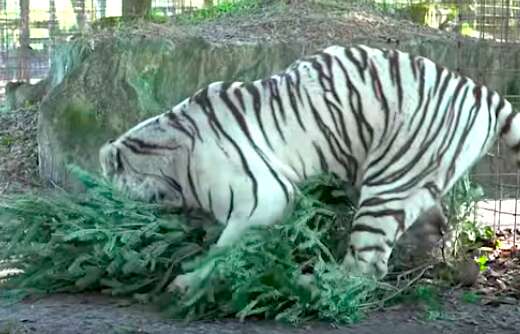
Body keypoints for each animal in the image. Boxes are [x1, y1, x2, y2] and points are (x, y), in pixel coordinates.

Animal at [98, 44, 520, 290]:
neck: (171, 161)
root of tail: (483, 92)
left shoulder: (264, 197)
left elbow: (225, 247)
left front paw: (190, 280)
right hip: (409, 180)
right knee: (433, 228)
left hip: (387, 187)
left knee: (365, 266)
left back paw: (313, 284)